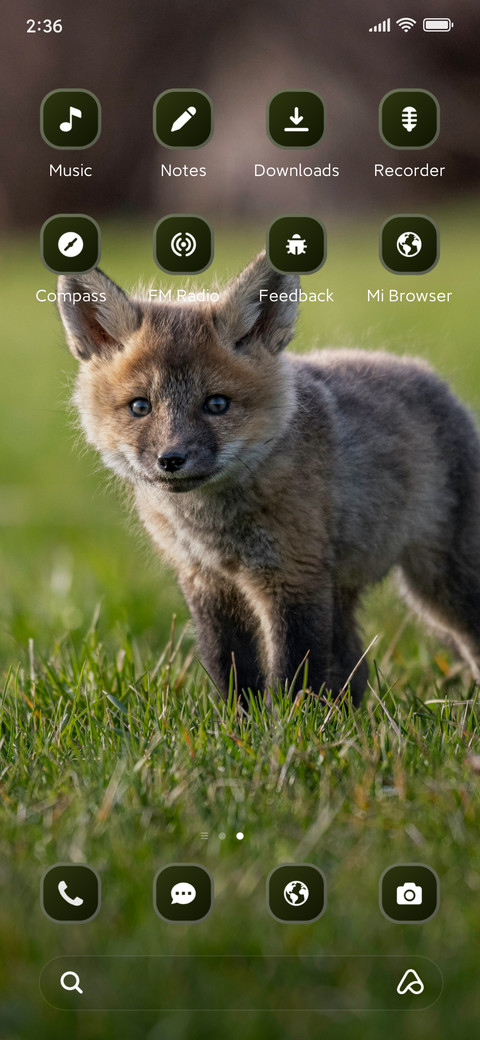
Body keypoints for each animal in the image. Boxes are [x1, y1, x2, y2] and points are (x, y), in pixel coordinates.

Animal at [57, 251, 480, 705]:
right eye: (140, 407)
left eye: (217, 404)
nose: (171, 459)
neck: (214, 528)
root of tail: (430, 377)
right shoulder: (207, 582)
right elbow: (230, 667)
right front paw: (238, 721)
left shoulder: (293, 576)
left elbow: (295, 671)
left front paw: (295, 722)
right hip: (346, 591)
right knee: (355, 668)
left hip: (441, 587)